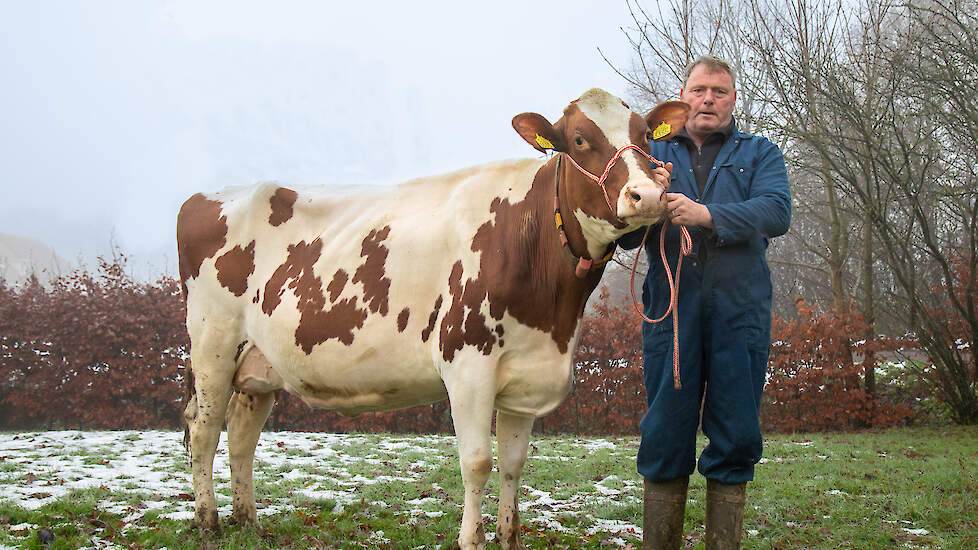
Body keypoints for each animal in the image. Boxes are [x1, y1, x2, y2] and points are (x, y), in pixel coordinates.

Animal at [179, 90, 692, 550]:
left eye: (645, 135)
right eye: (581, 139)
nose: (648, 194)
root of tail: (206, 196)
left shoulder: (526, 373)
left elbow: (513, 463)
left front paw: (508, 537)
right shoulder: (467, 365)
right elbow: (477, 462)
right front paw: (471, 539)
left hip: (257, 363)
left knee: (241, 435)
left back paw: (247, 520)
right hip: (212, 344)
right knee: (203, 429)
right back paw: (208, 522)